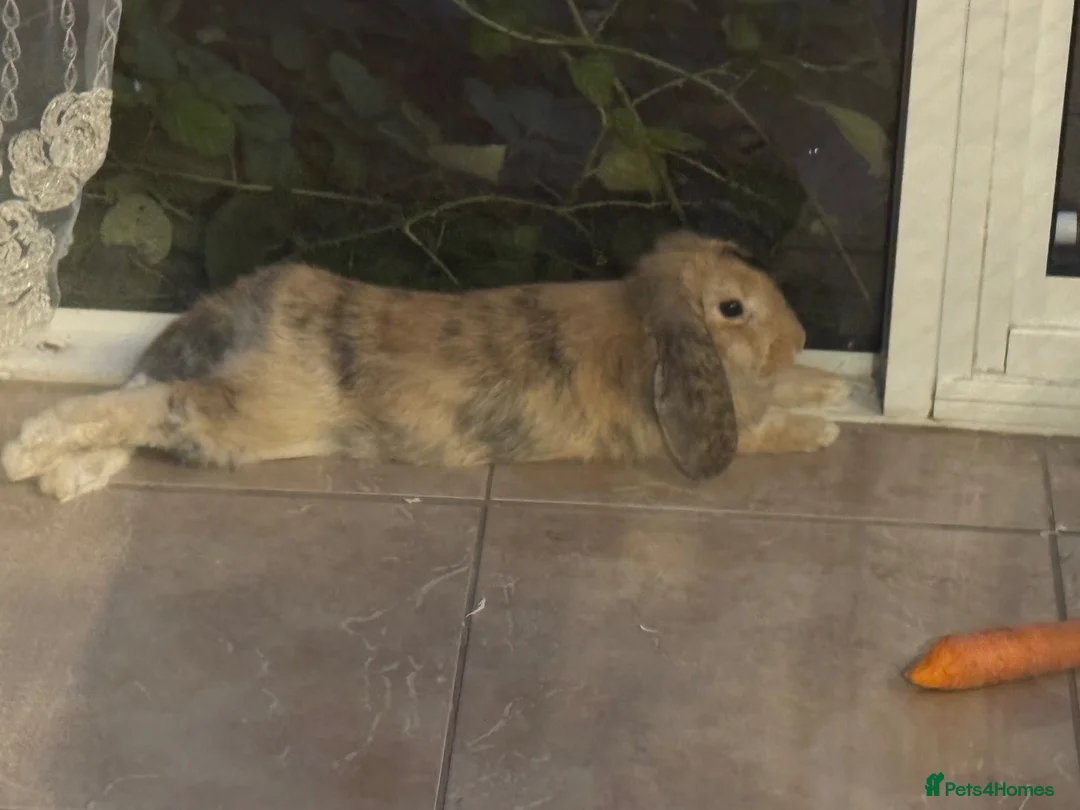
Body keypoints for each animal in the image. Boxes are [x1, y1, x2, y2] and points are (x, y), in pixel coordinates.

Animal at [1, 229, 850, 502]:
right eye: (732, 309)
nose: (802, 336)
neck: (648, 319)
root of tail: (257, 312)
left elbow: (782, 395)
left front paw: (834, 386)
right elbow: (766, 427)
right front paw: (825, 432)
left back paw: (63, 476)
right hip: (245, 414)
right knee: (144, 406)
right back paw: (28, 456)